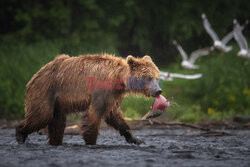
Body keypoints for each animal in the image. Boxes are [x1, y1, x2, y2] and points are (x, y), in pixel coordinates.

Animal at [15, 53, 162, 145]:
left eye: (157, 77)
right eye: (148, 77)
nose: (158, 90)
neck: (119, 80)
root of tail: (35, 76)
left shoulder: (113, 95)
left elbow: (114, 115)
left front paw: (136, 139)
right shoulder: (101, 89)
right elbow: (94, 114)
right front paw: (91, 141)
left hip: (57, 102)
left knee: (57, 123)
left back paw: (55, 142)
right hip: (46, 90)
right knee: (42, 115)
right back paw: (20, 134)